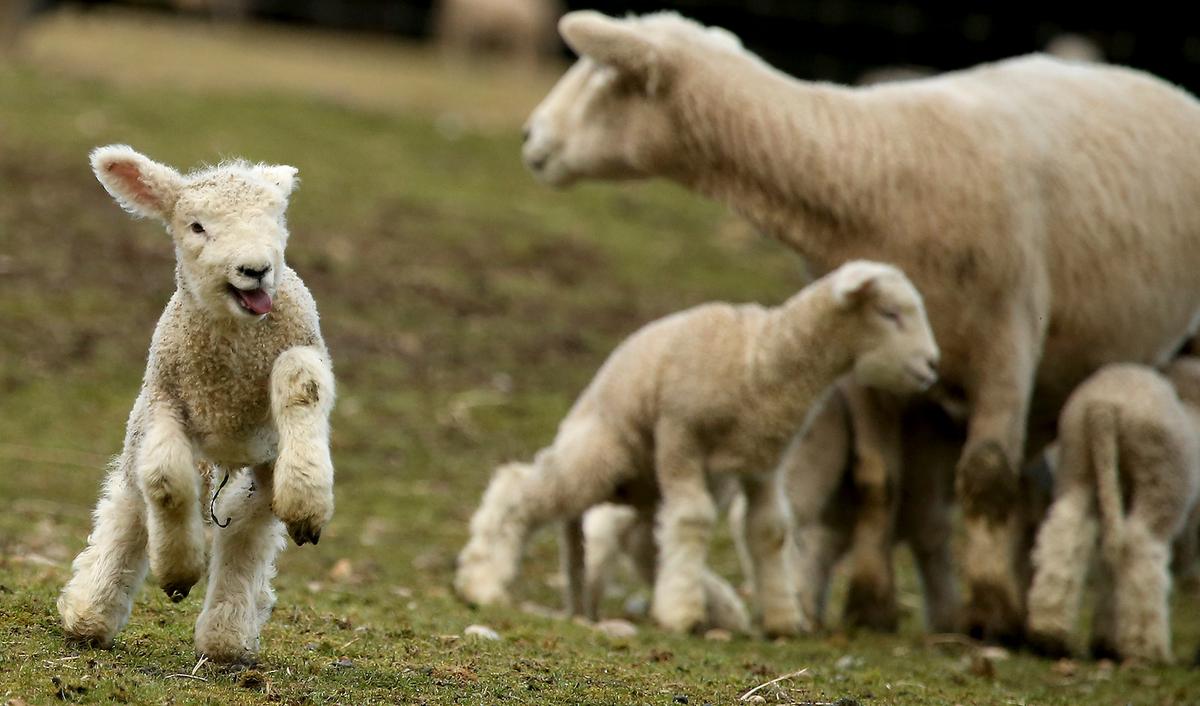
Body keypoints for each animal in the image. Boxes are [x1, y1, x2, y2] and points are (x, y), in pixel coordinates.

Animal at [56, 146, 335, 665]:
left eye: (275, 218)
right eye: (197, 226)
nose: (256, 270)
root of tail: (229, 447)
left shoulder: (300, 347)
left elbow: (301, 383)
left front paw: (307, 501)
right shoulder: (164, 402)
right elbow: (164, 481)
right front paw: (177, 569)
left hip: (261, 463)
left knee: (246, 529)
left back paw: (226, 638)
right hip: (149, 433)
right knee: (131, 509)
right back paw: (90, 617)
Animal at [455, 260, 939, 635]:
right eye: (890, 313)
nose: (933, 365)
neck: (760, 359)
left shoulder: (762, 463)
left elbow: (769, 529)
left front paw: (783, 618)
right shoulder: (679, 436)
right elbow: (693, 519)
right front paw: (681, 613)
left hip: (655, 484)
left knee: (642, 540)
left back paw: (719, 605)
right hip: (607, 454)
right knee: (523, 488)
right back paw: (482, 579)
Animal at [1025, 360, 1200, 663]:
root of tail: (1103, 405)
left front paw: (1107, 639)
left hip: (1078, 460)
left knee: (1068, 531)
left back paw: (1050, 630)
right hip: (1159, 476)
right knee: (1140, 548)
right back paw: (1147, 647)